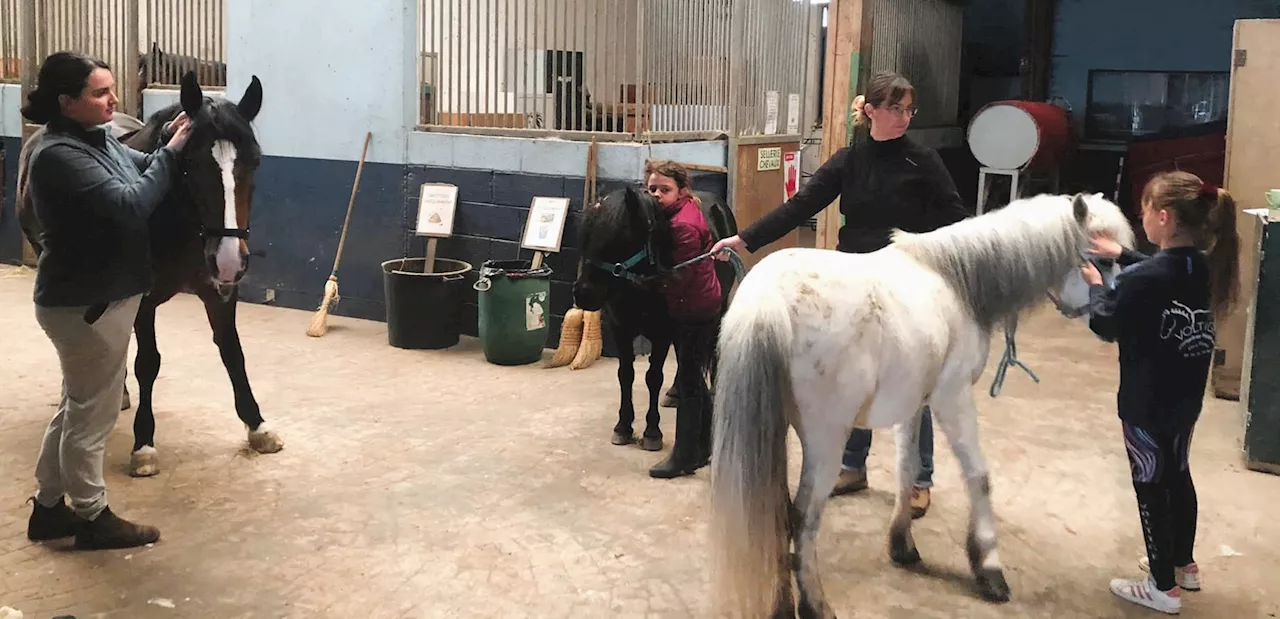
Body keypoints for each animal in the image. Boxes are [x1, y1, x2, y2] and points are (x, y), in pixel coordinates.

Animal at [15, 73, 280, 478]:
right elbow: (148, 363)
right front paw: (144, 445)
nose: (230, 260)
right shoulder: (142, 299)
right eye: (189, 164)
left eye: (255, 161)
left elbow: (232, 352)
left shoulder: (218, 292)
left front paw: (257, 426)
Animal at [573, 184, 742, 455]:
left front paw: (652, 432)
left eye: (618, 237)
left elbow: (653, 377)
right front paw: (623, 427)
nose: (583, 294)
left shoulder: (662, 332)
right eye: (586, 237)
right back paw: (675, 392)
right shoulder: (620, 329)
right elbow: (626, 374)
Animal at [706, 193, 1136, 619]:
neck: (956, 280)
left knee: (776, 513)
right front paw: (989, 570)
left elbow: (906, 469)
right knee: (803, 518)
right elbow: (979, 476)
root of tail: (767, 300)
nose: (1111, 315)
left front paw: (903, 546)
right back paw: (816, 606)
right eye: (1103, 259)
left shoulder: (914, 405)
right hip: (825, 442)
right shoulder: (952, 398)